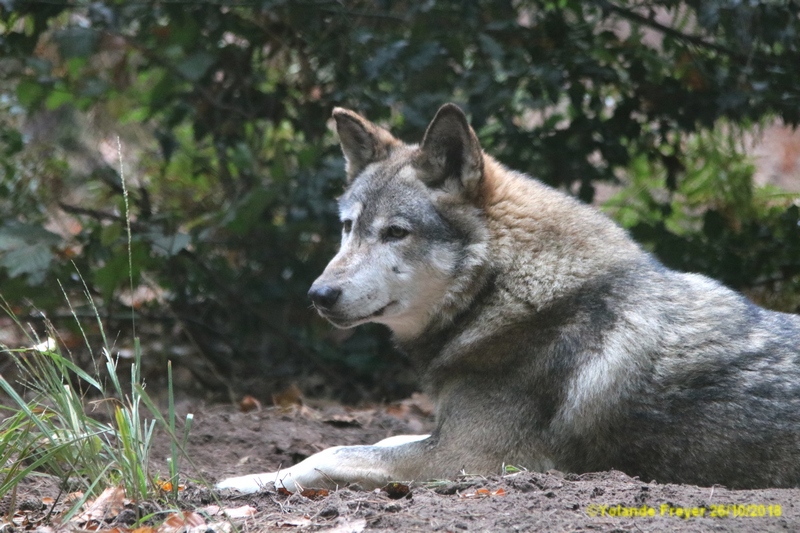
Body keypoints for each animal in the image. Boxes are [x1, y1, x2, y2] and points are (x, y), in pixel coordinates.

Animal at [217, 102, 800, 492]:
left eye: (396, 233)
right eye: (348, 228)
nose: (319, 294)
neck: (503, 296)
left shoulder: (467, 459)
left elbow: (332, 450)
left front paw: (241, 484)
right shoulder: (443, 438)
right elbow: (376, 440)